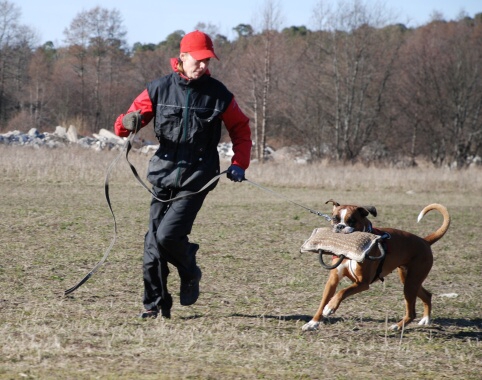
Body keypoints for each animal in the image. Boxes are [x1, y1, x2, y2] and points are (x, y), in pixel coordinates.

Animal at [304, 200, 450, 332]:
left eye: (351, 220)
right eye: (335, 219)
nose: (340, 226)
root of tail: (425, 241)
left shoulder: (362, 283)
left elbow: (342, 292)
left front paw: (330, 307)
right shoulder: (333, 281)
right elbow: (323, 303)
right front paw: (313, 323)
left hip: (411, 283)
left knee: (412, 312)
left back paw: (398, 326)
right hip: (409, 280)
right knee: (427, 295)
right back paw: (425, 319)